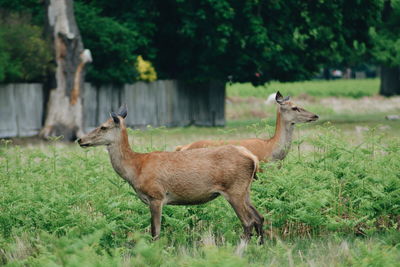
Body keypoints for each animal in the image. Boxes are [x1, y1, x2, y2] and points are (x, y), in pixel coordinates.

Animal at [77, 104, 266, 245]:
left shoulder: (156, 196)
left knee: (248, 221)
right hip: (245, 190)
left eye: (103, 126)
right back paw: (260, 246)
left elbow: (155, 231)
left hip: (234, 189)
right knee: (259, 217)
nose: (80, 140)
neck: (135, 168)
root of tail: (253, 158)